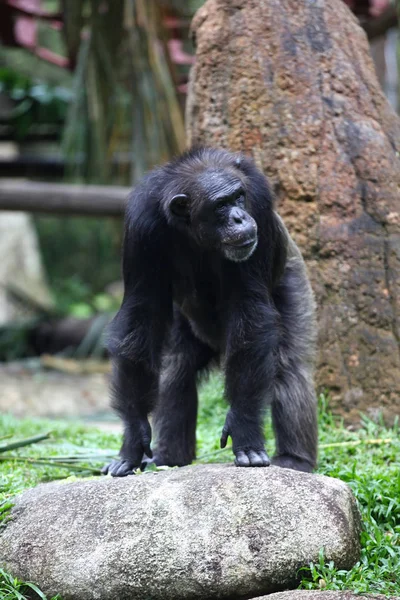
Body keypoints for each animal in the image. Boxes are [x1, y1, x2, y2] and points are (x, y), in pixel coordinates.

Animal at [103, 148, 318, 476]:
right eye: (221, 205)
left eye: (239, 197)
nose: (240, 217)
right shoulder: (140, 227)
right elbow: (142, 313)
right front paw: (134, 437)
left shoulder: (259, 201)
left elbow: (249, 310)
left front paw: (244, 430)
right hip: (187, 323)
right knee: (175, 368)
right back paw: (169, 457)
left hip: (293, 280)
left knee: (288, 366)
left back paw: (295, 460)